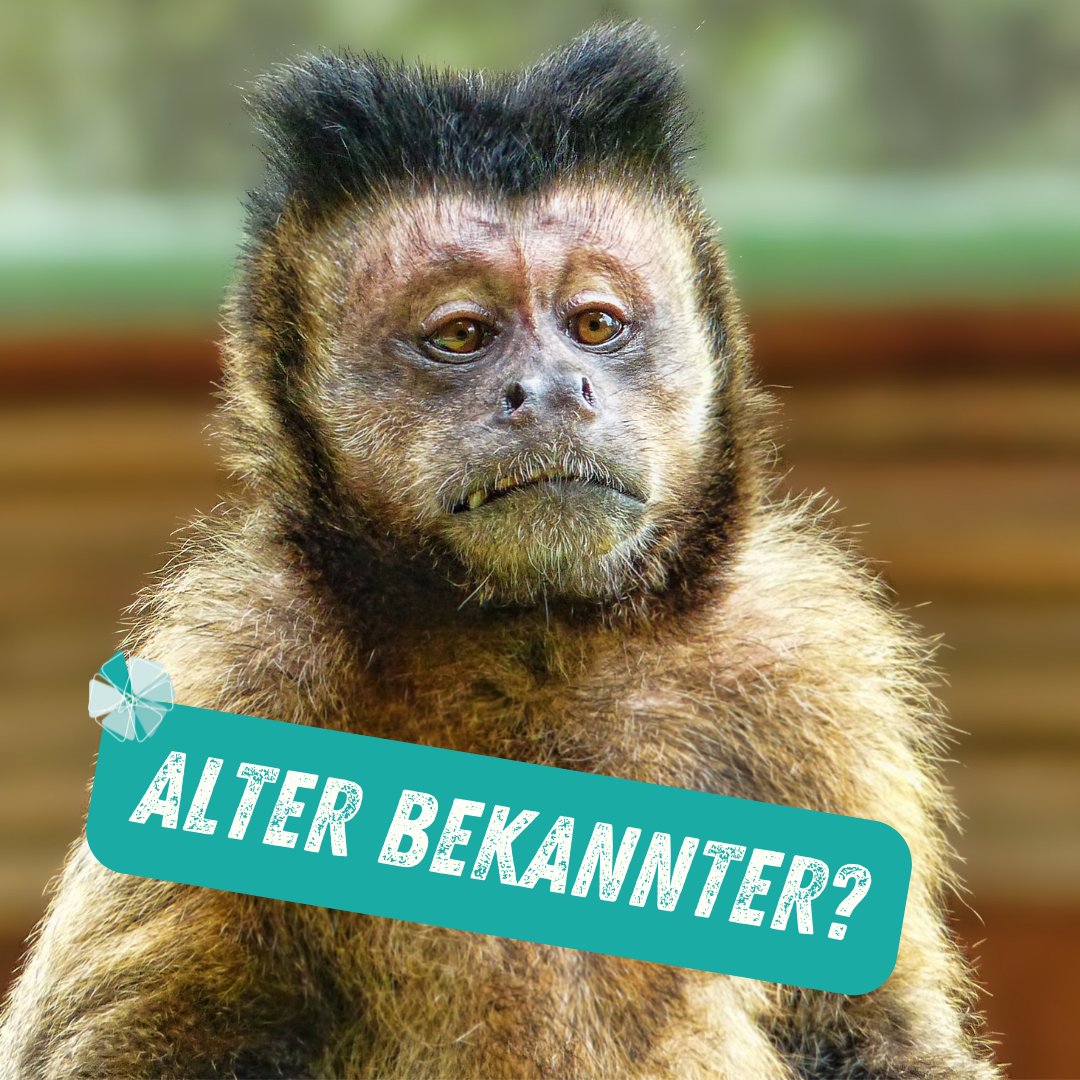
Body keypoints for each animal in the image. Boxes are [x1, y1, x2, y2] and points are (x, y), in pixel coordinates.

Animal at [0, 22, 999, 1080]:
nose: (553, 390)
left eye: (595, 325)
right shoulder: (233, 672)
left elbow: (875, 1035)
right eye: (462, 336)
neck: (534, 642)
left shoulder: (806, 675)